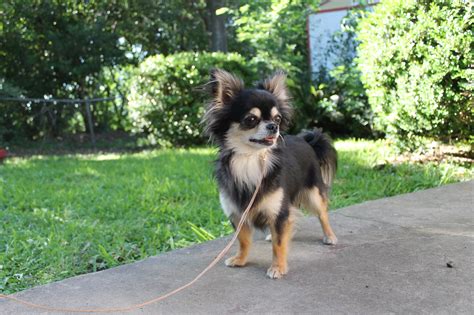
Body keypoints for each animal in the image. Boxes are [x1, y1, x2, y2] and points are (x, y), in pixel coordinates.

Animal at [202, 68, 338, 278]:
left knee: (322, 214)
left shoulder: (279, 212)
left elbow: (279, 243)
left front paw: (278, 267)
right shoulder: (237, 214)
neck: (250, 159)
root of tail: (307, 141)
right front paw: (240, 259)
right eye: (251, 119)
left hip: (313, 194)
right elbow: (244, 240)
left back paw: (329, 235)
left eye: (278, 119)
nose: (274, 127)